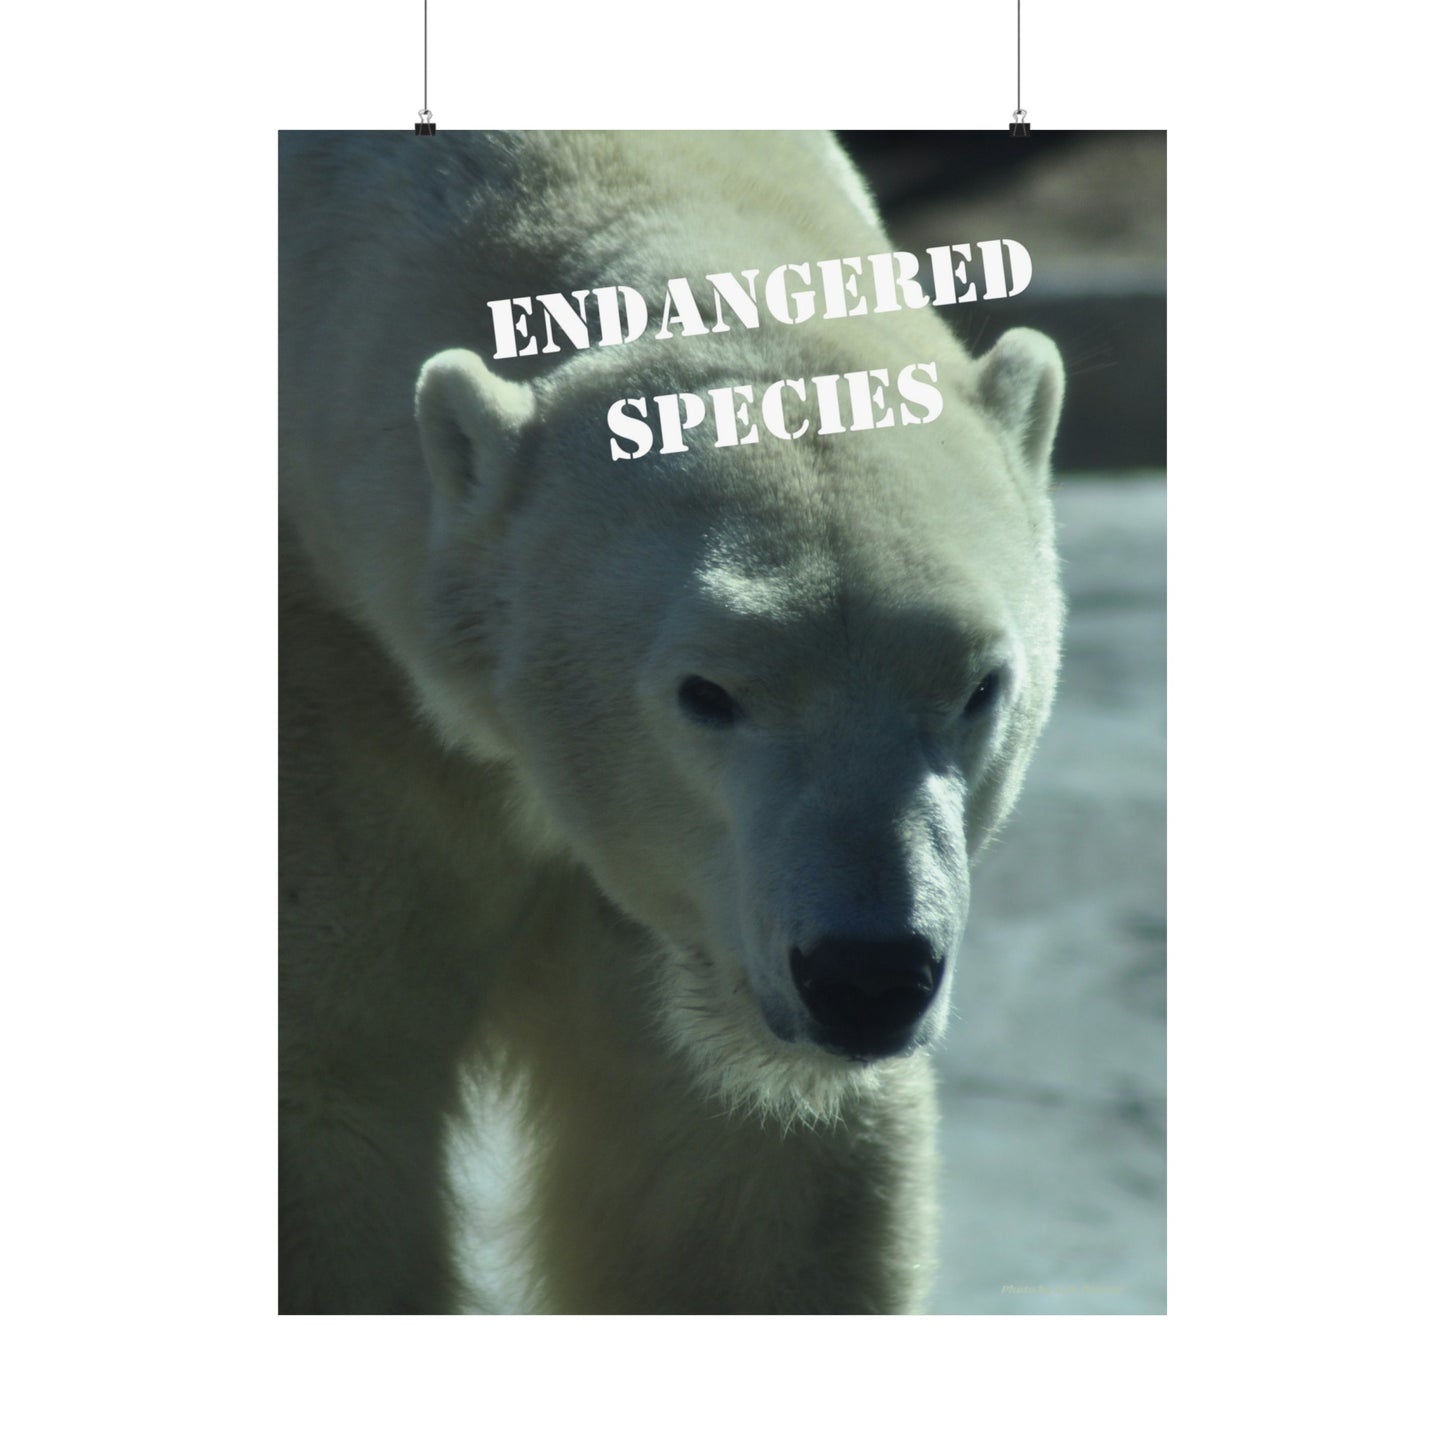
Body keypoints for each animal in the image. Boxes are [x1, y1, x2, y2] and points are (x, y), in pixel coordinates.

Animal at [279, 130, 1065, 1314]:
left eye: (978, 686)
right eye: (709, 692)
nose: (866, 974)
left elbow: (736, 1174)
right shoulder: (344, 697)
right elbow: (331, 1101)